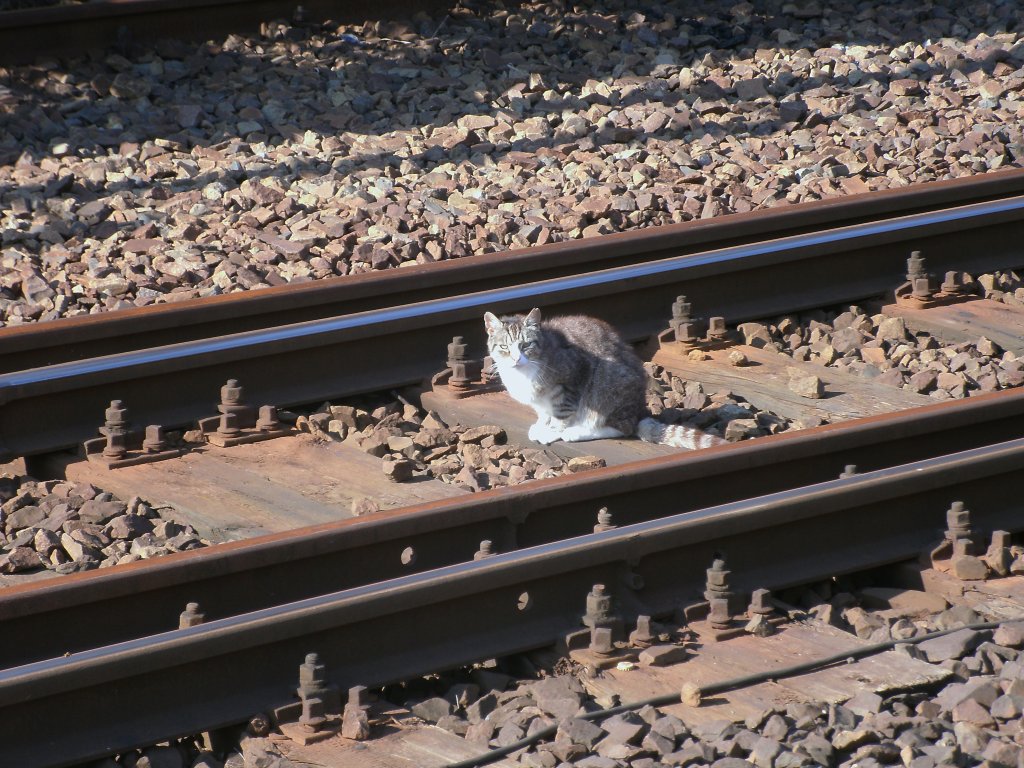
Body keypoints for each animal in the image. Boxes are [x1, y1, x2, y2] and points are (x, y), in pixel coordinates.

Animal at [483, 309, 724, 450]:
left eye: (525, 345)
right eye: (504, 347)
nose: (516, 358)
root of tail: (639, 411)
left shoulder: (574, 377)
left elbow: (561, 414)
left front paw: (552, 432)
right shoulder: (540, 400)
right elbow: (544, 412)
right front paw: (542, 424)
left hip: (606, 383)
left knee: (622, 427)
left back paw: (578, 431)